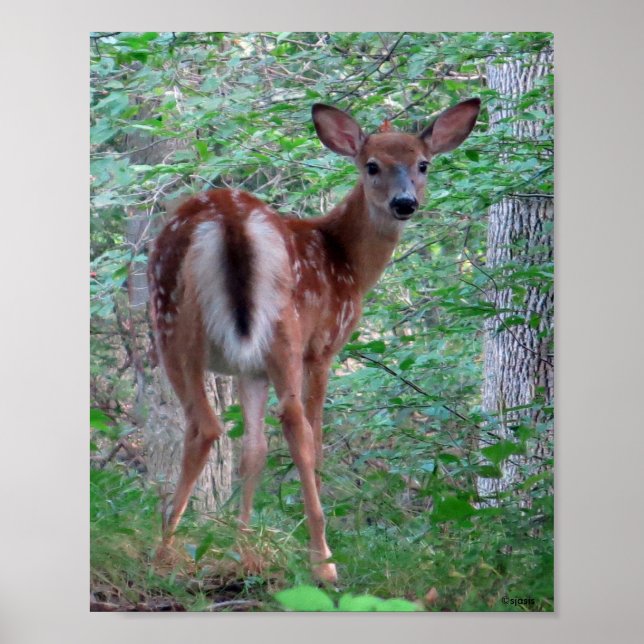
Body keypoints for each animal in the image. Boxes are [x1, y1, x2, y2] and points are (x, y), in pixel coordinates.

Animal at [147, 97, 480, 583]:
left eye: (423, 164)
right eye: (372, 165)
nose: (405, 203)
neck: (348, 261)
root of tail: (230, 220)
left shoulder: (249, 369)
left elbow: (253, 451)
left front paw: (242, 548)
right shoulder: (323, 347)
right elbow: (315, 438)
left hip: (170, 314)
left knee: (214, 425)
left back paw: (172, 547)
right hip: (277, 329)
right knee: (284, 424)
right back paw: (319, 560)